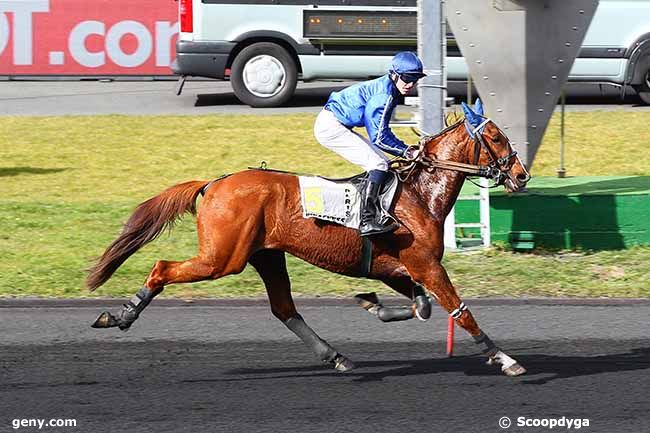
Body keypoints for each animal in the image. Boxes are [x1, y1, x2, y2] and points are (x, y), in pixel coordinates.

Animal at [87, 101, 528, 374]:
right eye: (497, 138)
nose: (522, 175)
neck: (419, 195)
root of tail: (213, 183)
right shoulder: (426, 265)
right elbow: (459, 310)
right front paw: (504, 358)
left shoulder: (395, 268)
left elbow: (422, 306)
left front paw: (370, 304)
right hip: (222, 258)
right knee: (162, 268)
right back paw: (121, 316)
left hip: (265, 255)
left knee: (284, 309)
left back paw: (335, 356)